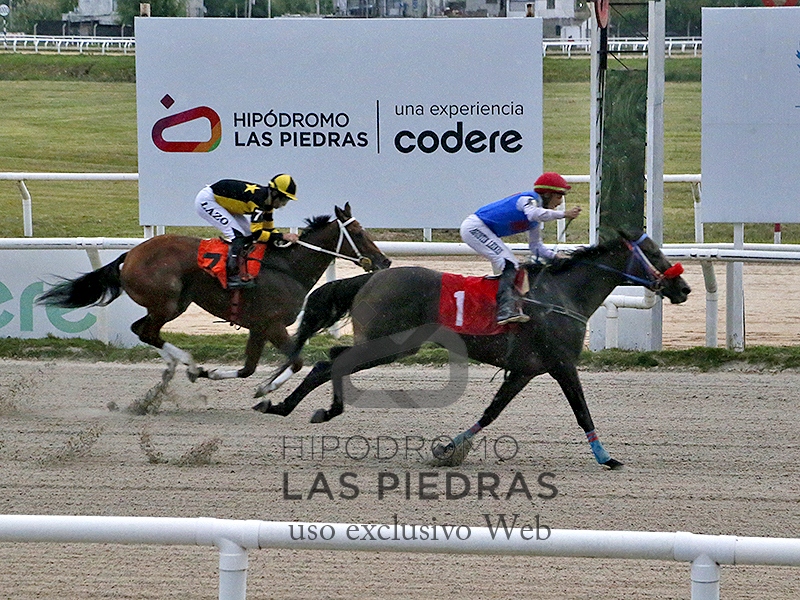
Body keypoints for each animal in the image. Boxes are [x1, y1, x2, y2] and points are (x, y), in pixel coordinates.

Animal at [37, 203, 391, 390]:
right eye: (357, 232)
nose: (385, 262)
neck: (288, 267)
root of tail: (132, 254)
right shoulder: (272, 324)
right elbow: (296, 360)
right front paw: (266, 388)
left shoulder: (258, 327)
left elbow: (249, 367)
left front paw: (221, 374)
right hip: (168, 301)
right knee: (147, 331)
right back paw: (188, 364)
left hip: (174, 303)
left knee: (143, 330)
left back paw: (181, 367)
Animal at [252, 231, 691, 469]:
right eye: (654, 255)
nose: (684, 288)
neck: (562, 296)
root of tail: (369, 279)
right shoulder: (562, 363)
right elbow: (582, 410)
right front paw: (606, 457)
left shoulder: (525, 369)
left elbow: (492, 412)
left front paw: (448, 449)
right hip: (389, 344)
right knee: (330, 361)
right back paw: (290, 405)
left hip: (391, 345)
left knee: (333, 359)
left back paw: (298, 405)